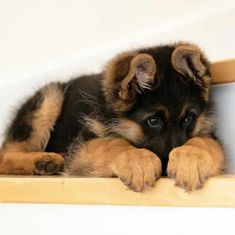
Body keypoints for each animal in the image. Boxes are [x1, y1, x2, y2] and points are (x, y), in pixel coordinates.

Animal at [0, 43, 224, 192]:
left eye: (188, 119)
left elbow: (202, 142)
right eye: (153, 121)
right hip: (50, 97)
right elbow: (113, 142)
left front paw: (189, 159)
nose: (166, 168)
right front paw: (138, 160)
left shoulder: (208, 134)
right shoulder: (83, 146)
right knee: (5, 154)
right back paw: (42, 160)